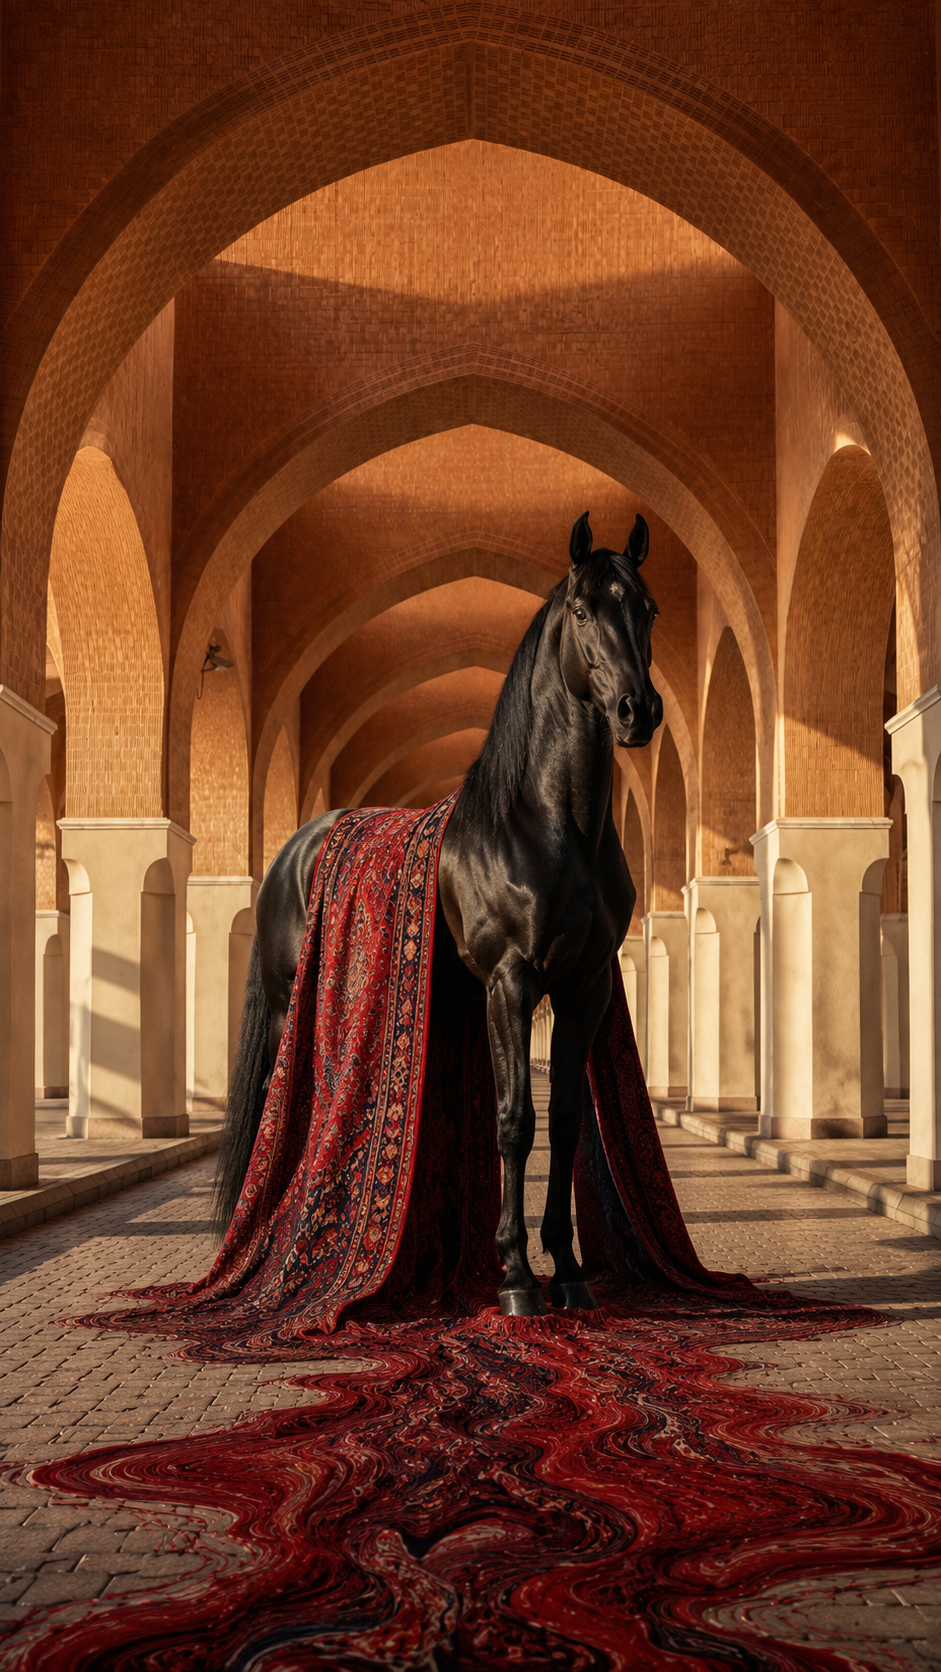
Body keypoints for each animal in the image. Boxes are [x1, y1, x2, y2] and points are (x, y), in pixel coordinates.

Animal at [215, 511, 662, 1319]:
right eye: (583, 610)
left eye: (647, 608)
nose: (636, 712)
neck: (545, 825)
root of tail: (294, 848)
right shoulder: (509, 983)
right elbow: (514, 1121)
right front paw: (515, 1278)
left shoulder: (584, 986)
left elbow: (565, 1118)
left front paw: (568, 1269)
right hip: (290, 1003)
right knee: (276, 1107)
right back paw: (258, 1245)